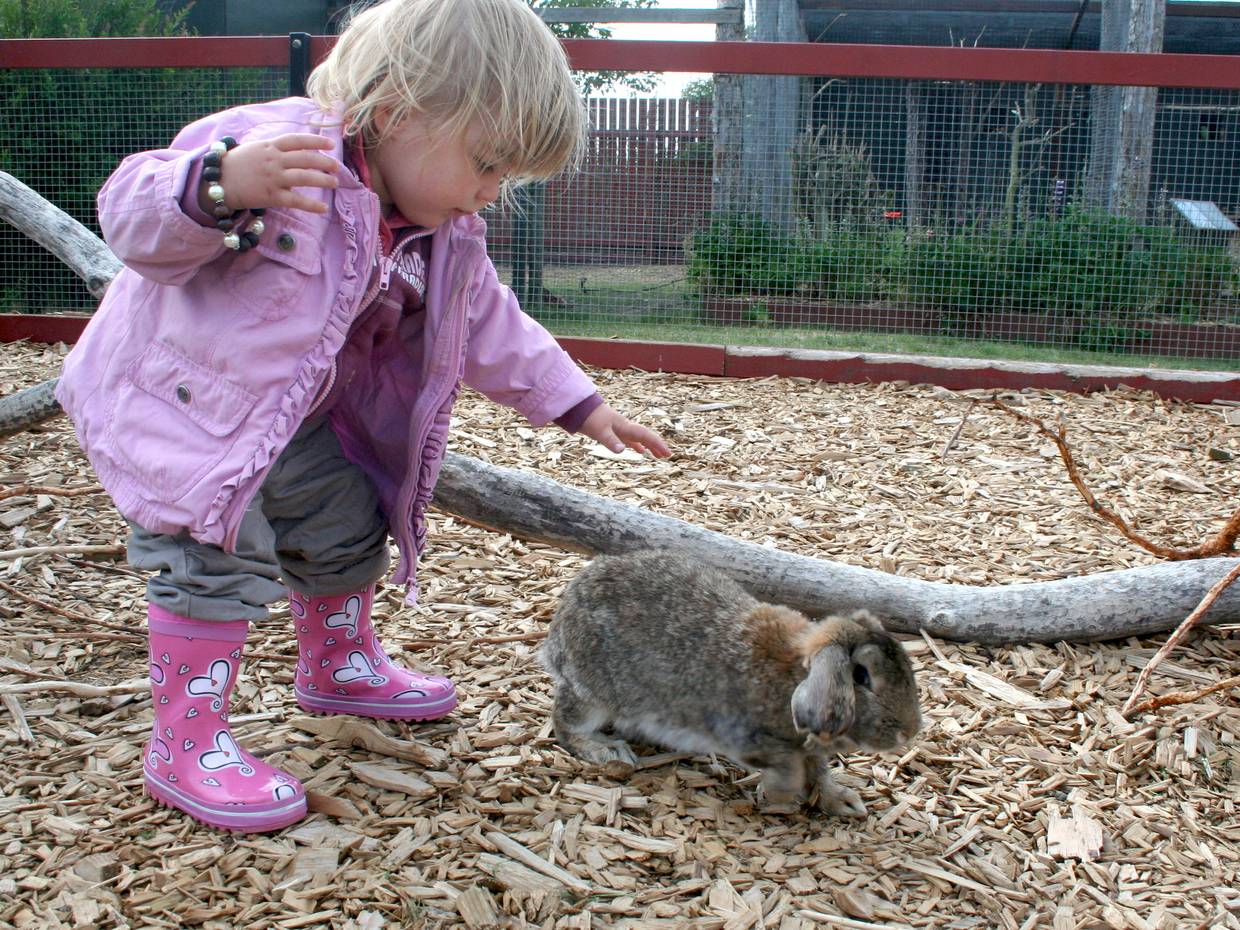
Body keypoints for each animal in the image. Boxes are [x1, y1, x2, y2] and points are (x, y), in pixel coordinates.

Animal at [541, 549, 922, 816]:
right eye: (861, 676)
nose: (910, 732)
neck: (794, 676)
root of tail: (558, 633)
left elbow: (820, 773)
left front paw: (842, 801)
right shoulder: (746, 738)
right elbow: (788, 767)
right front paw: (781, 794)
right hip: (593, 693)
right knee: (566, 723)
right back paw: (608, 750)